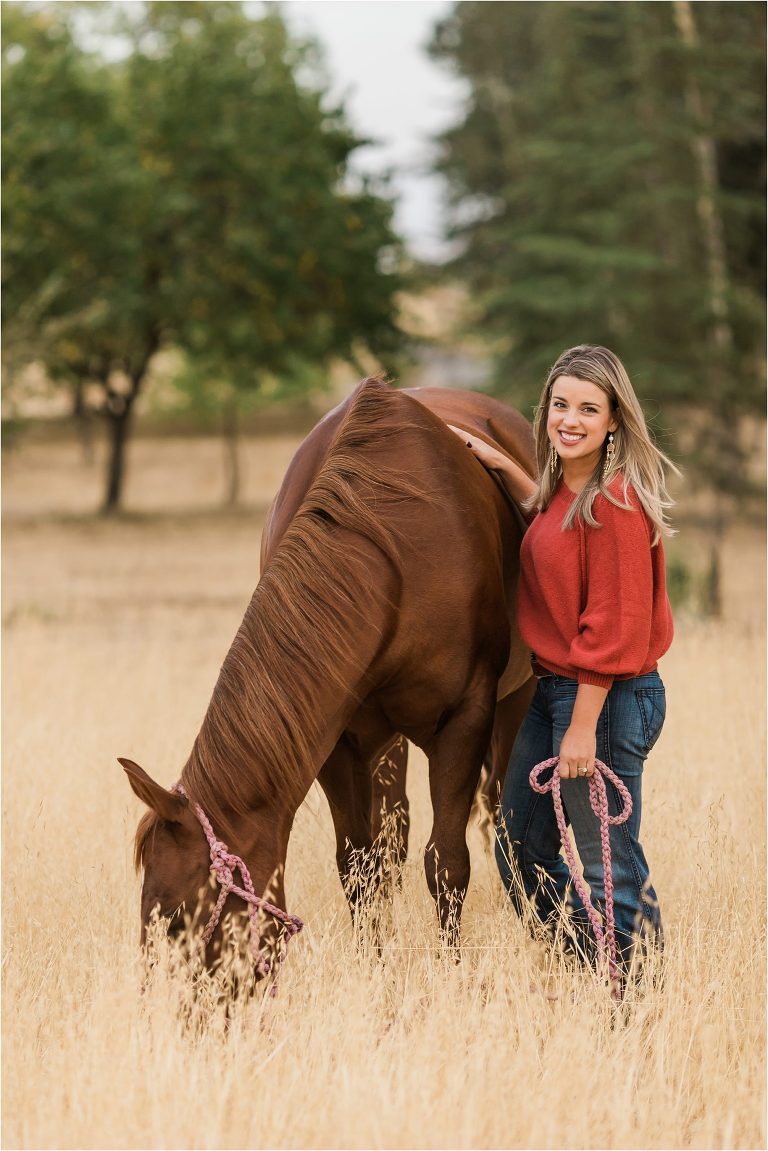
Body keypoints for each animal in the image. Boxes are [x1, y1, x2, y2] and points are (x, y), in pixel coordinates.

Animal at [121, 376, 536, 982]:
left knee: (498, 817)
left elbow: (447, 862)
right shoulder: (335, 740)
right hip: (385, 740)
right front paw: (376, 969)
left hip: (515, 703)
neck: (392, 552)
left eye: (176, 916)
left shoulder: (465, 719)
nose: (173, 1002)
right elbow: (359, 865)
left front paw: (452, 971)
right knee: (393, 837)